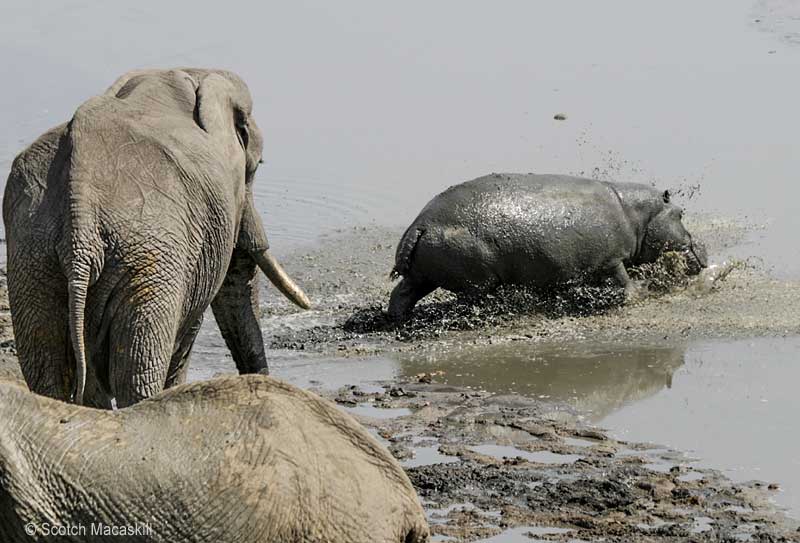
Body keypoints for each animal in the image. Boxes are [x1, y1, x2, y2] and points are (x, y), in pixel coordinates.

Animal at [2, 68, 310, 408]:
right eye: (253, 170)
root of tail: (80, 201)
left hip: (33, 258)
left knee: (47, 372)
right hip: (149, 261)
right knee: (137, 373)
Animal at [388, 173, 708, 324]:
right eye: (681, 213)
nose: (702, 246)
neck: (637, 214)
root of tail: (420, 223)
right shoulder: (611, 260)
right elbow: (623, 280)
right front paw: (638, 293)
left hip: (423, 275)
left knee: (402, 293)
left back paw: (397, 321)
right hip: (476, 281)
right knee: (467, 303)